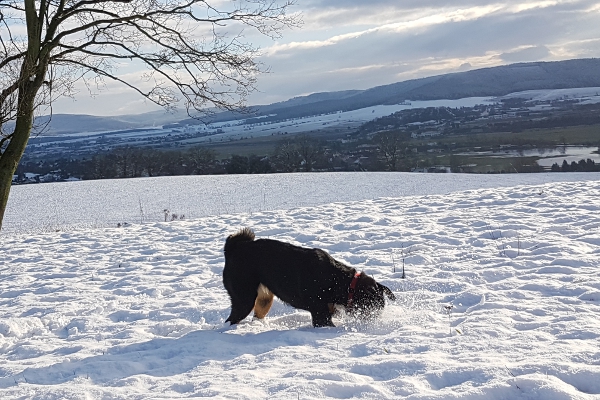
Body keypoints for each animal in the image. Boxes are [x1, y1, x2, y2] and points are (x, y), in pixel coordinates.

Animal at [223, 228, 396, 328]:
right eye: (374, 307)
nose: (376, 320)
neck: (339, 281)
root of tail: (234, 249)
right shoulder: (321, 315)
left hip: (264, 300)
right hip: (244, 298)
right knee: (232, 319)